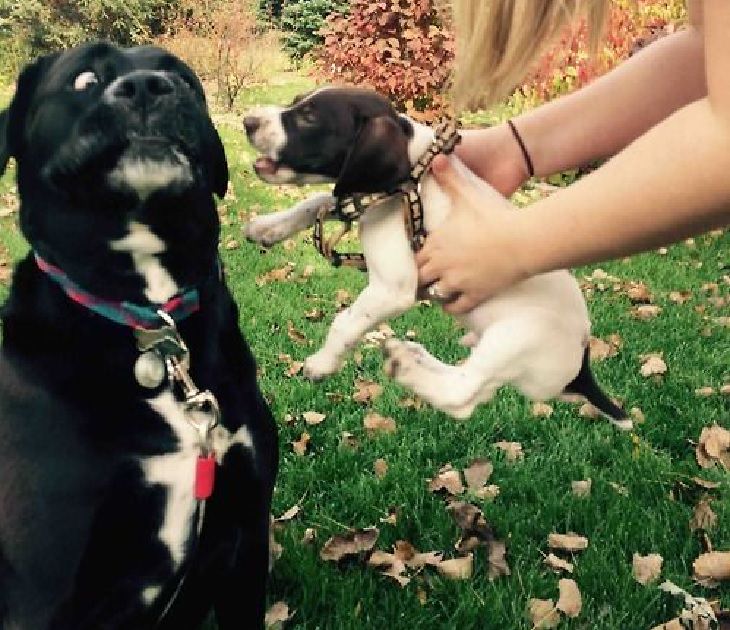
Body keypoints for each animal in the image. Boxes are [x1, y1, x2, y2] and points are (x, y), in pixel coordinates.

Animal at [0, 42, 278, 628]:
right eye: (84, 78)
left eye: (184, 79)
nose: (150, 85)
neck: (151, 319)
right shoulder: (42, 593)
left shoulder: (246, 538)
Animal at [242, 87, 628, 430]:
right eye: (296, 102)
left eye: (309, 117)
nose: (248, 121)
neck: (411, 180)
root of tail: (582, 365)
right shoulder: (357, 198)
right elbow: (318, 201)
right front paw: (268, 227)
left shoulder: (393, 289)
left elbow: (345, 323)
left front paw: (322, 363)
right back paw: (415, 356)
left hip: (517, 336)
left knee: (462, 395)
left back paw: (406, 366)